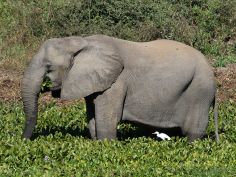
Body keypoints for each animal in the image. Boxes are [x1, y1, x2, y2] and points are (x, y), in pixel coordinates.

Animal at [21, 35, 219, 142]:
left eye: (49, 67)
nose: (22, 142)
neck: (81, 41)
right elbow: (93, 120)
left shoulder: (116, 83)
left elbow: (107, 121)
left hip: (200, 89)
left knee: (193, 131)